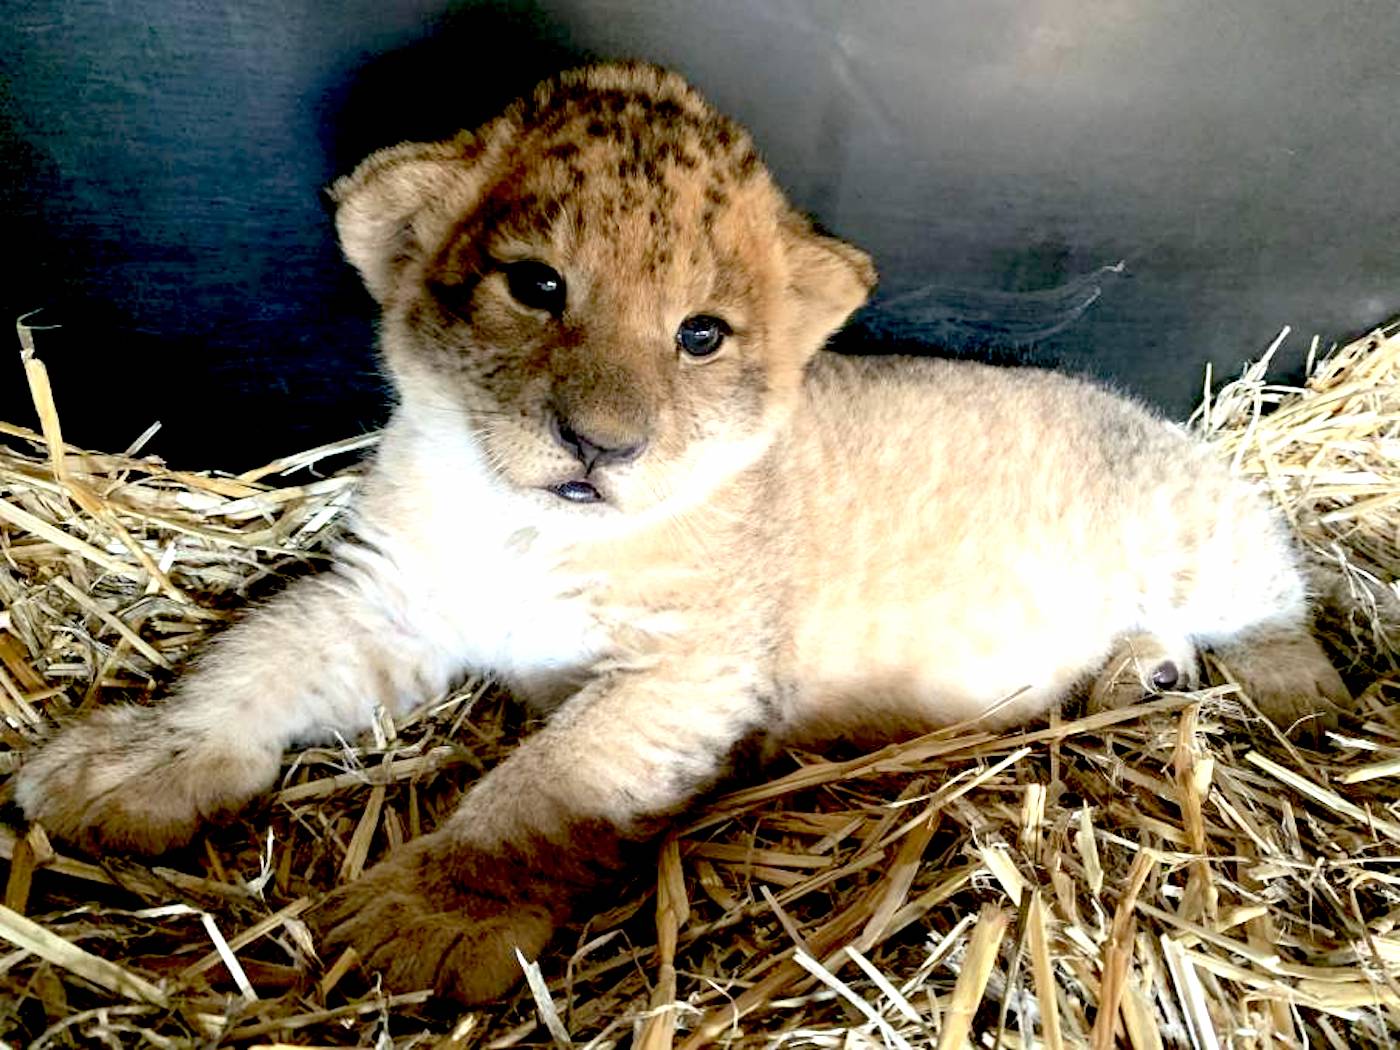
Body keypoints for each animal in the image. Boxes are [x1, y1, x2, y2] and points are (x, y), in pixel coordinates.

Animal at [10, 59, 1344, 1002]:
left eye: (700, 334)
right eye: (536, 286)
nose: (599, 445)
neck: (526, 531)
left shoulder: (688, 673)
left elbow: (542, 786)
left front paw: (424, 921)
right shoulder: (388, 598)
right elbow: (259, 659)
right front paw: (135, 762)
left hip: (1197, 525)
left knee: (1281, 601)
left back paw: (1288, 693)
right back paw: (1136, 672)